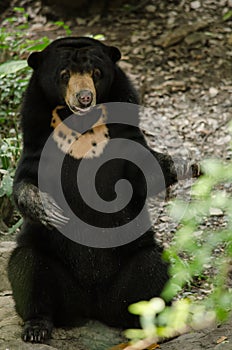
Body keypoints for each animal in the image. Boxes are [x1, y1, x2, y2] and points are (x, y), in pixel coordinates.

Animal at [7, 37, 199, 344]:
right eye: (64, 75)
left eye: (96, 72)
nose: (84, 98)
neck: (82, 127)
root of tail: (93, 307)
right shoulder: (36, 138)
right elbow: (25, 181)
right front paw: (48, 208)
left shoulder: (125, 133)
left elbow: (142, 174)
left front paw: (183, 164)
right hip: (52, 274)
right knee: (27, 266)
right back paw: (37, 328)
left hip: (131, 269)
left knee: (153, 267)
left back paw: (155, 325)